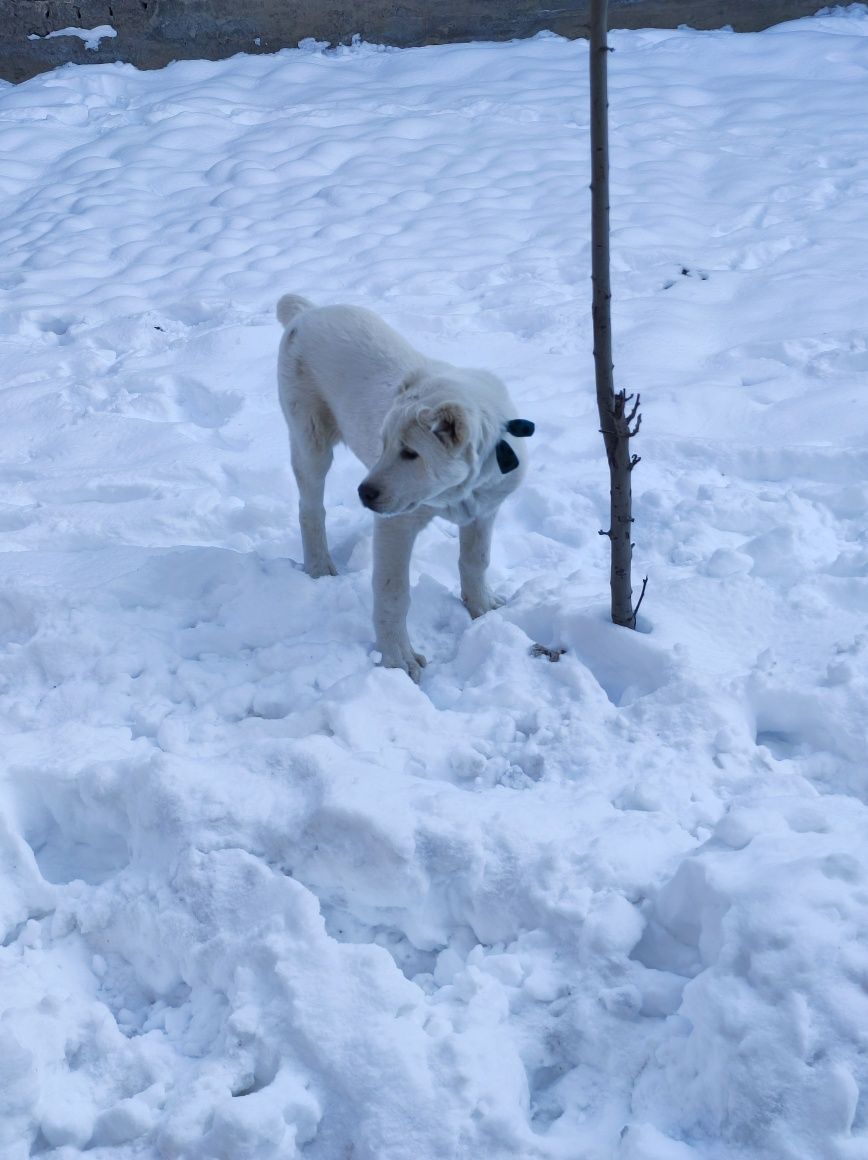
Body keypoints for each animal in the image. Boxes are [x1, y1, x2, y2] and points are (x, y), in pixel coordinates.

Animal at [278, 294, 536, 682]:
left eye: (411, 453)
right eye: (383, 444)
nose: (364, 494)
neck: (459, 491)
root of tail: (307, 312)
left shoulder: (484, 510)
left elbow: (476, 560)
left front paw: (481, 607)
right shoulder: (396, 526)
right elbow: (393, 592)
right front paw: (398, 659)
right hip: (310, 439)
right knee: (310, 508)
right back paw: (320, 567)